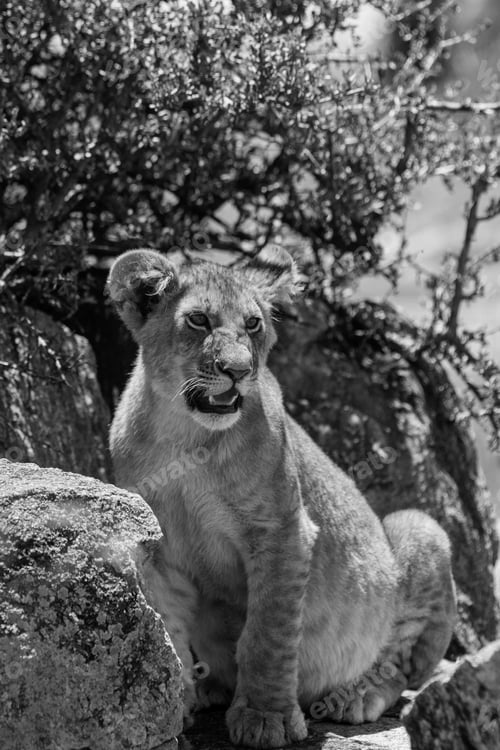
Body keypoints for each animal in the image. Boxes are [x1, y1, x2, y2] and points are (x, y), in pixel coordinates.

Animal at [108, 247, 456, 749]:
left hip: (418, 528)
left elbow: (267, 633)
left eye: (253, 324)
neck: (184, 436)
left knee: (402, 666)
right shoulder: (156, 548)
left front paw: (263, 717)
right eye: (197, 319)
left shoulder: (282, 530)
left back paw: (353, 695)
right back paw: (212, 688)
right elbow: (169, 626)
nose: (237, 371)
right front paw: (173, 705)